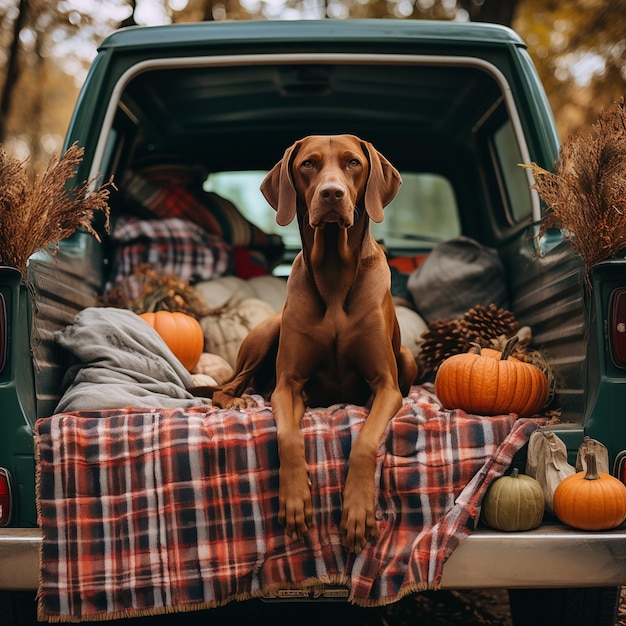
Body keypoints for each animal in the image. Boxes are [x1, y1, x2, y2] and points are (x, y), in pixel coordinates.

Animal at [212, 134, 416, 548]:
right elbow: (288, 437)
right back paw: (238, 400)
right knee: (223, 387)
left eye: (353, 162)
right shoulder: (287, 386)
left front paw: (357, 512)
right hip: (268, 331)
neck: (335, 273)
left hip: (406, 357)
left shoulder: (387, 386)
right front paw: (294, 501)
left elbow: (365, 440)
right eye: (308, 164)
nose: (332, 193)